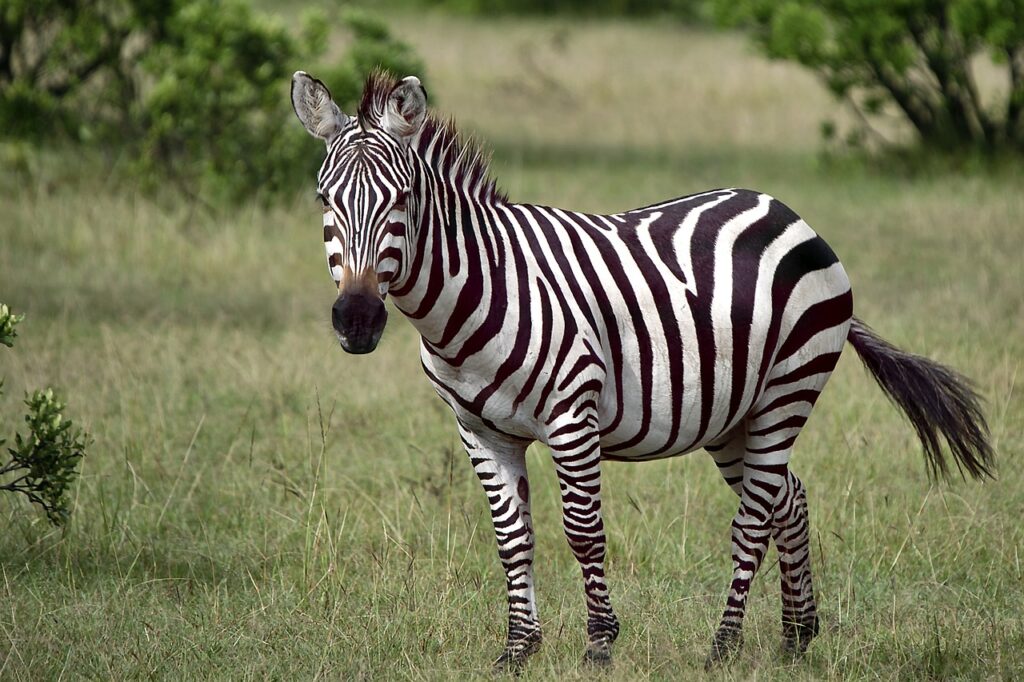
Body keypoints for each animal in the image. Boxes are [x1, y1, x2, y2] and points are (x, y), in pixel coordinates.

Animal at [290, 70, 994, 669]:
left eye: (403, 198)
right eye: (324, 198)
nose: (357, 320)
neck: (476, 291)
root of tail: (786, 210)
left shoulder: (573, 415)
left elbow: (583, 533)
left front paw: (600, 645)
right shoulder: (480, 430)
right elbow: (512, 538)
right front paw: (518, 650)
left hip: (786, 391)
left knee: (753, 520)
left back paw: (723, 648)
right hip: (731, 415)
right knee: (787, 499)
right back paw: (797, 638)